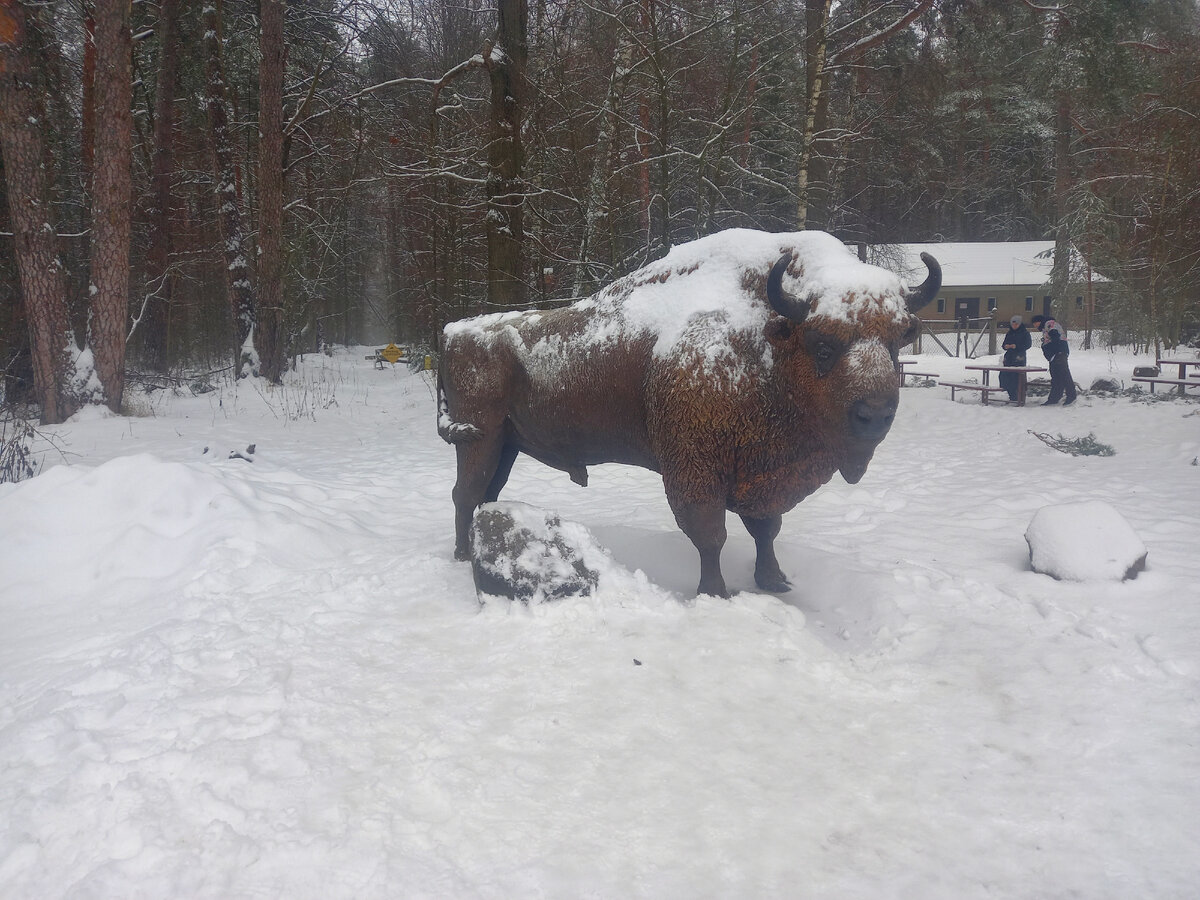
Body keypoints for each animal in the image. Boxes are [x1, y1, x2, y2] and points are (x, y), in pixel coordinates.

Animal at [436, 230, 940, 600]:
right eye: (822, 344)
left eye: (897, 339)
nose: (876, 414)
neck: (767, 338)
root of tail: (453, 332)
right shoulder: (695, 465)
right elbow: (709, 532)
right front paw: (715, 592)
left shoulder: (762, 470)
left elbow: (767, 528)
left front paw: (774, 580)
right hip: (478, 438)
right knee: (465, 493)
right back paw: (460, 556)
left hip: (507, 444)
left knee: (486, 494)